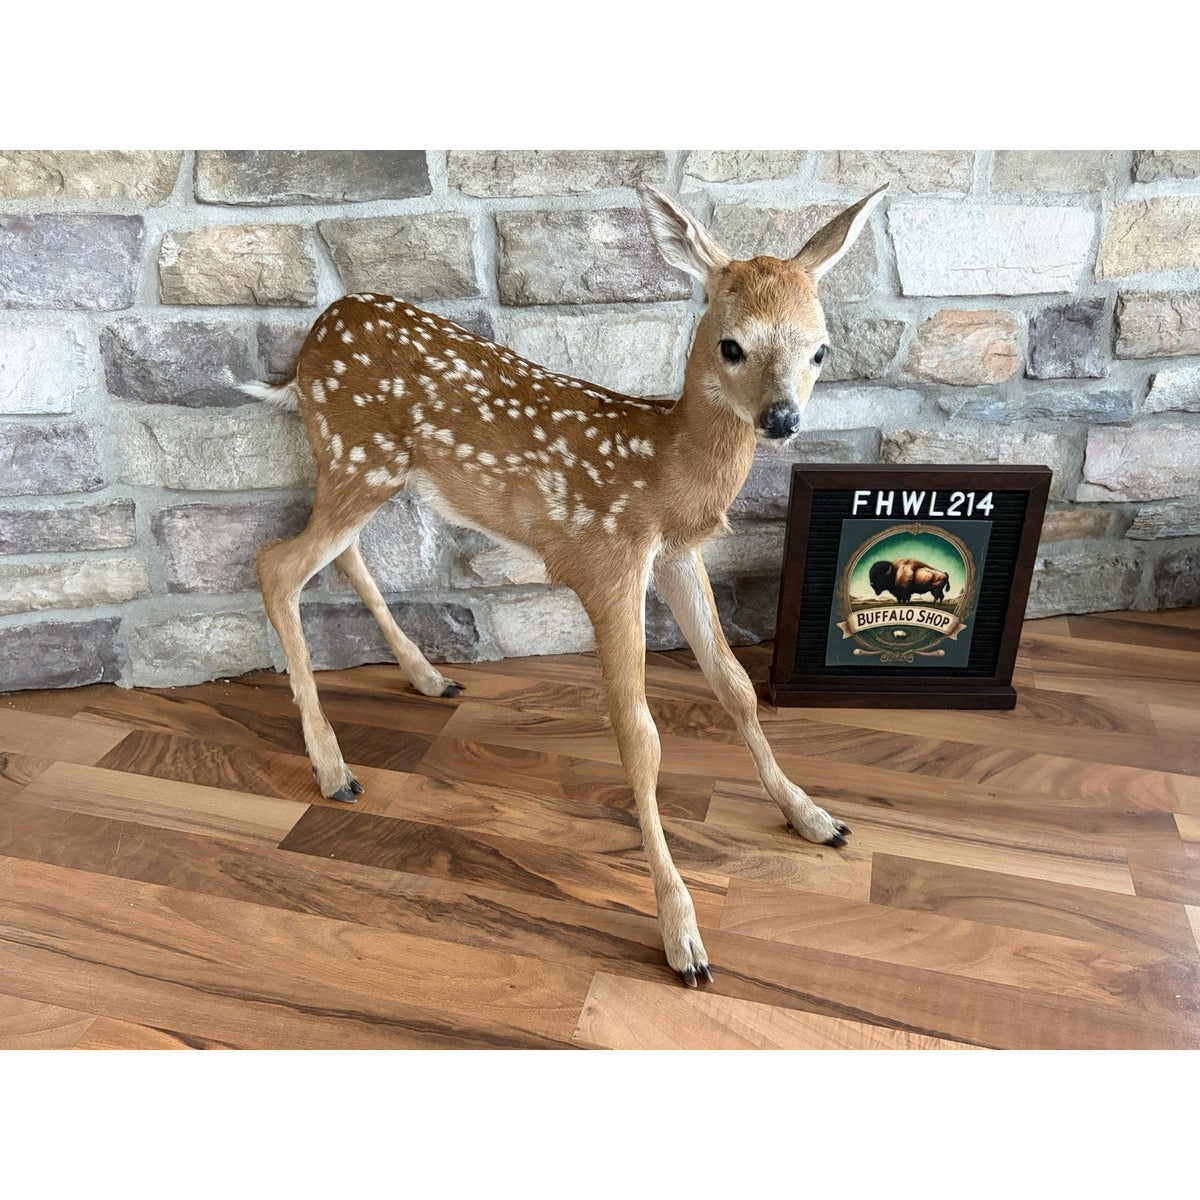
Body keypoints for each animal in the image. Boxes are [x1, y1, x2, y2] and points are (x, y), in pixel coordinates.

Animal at [241, 182, 888, 986]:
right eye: (732, 344)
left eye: (820, 349)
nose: (782, 418)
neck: (663, 468)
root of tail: (311, 341)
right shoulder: (606, 559)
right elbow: (640, 737)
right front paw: (682, 935)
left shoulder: (676, 555)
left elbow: (735, 684)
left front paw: (812, 815)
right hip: (361, 456)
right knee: (275, 564)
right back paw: (335, 770)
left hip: (365, 469)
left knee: (336, 554)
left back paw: (428, 678)